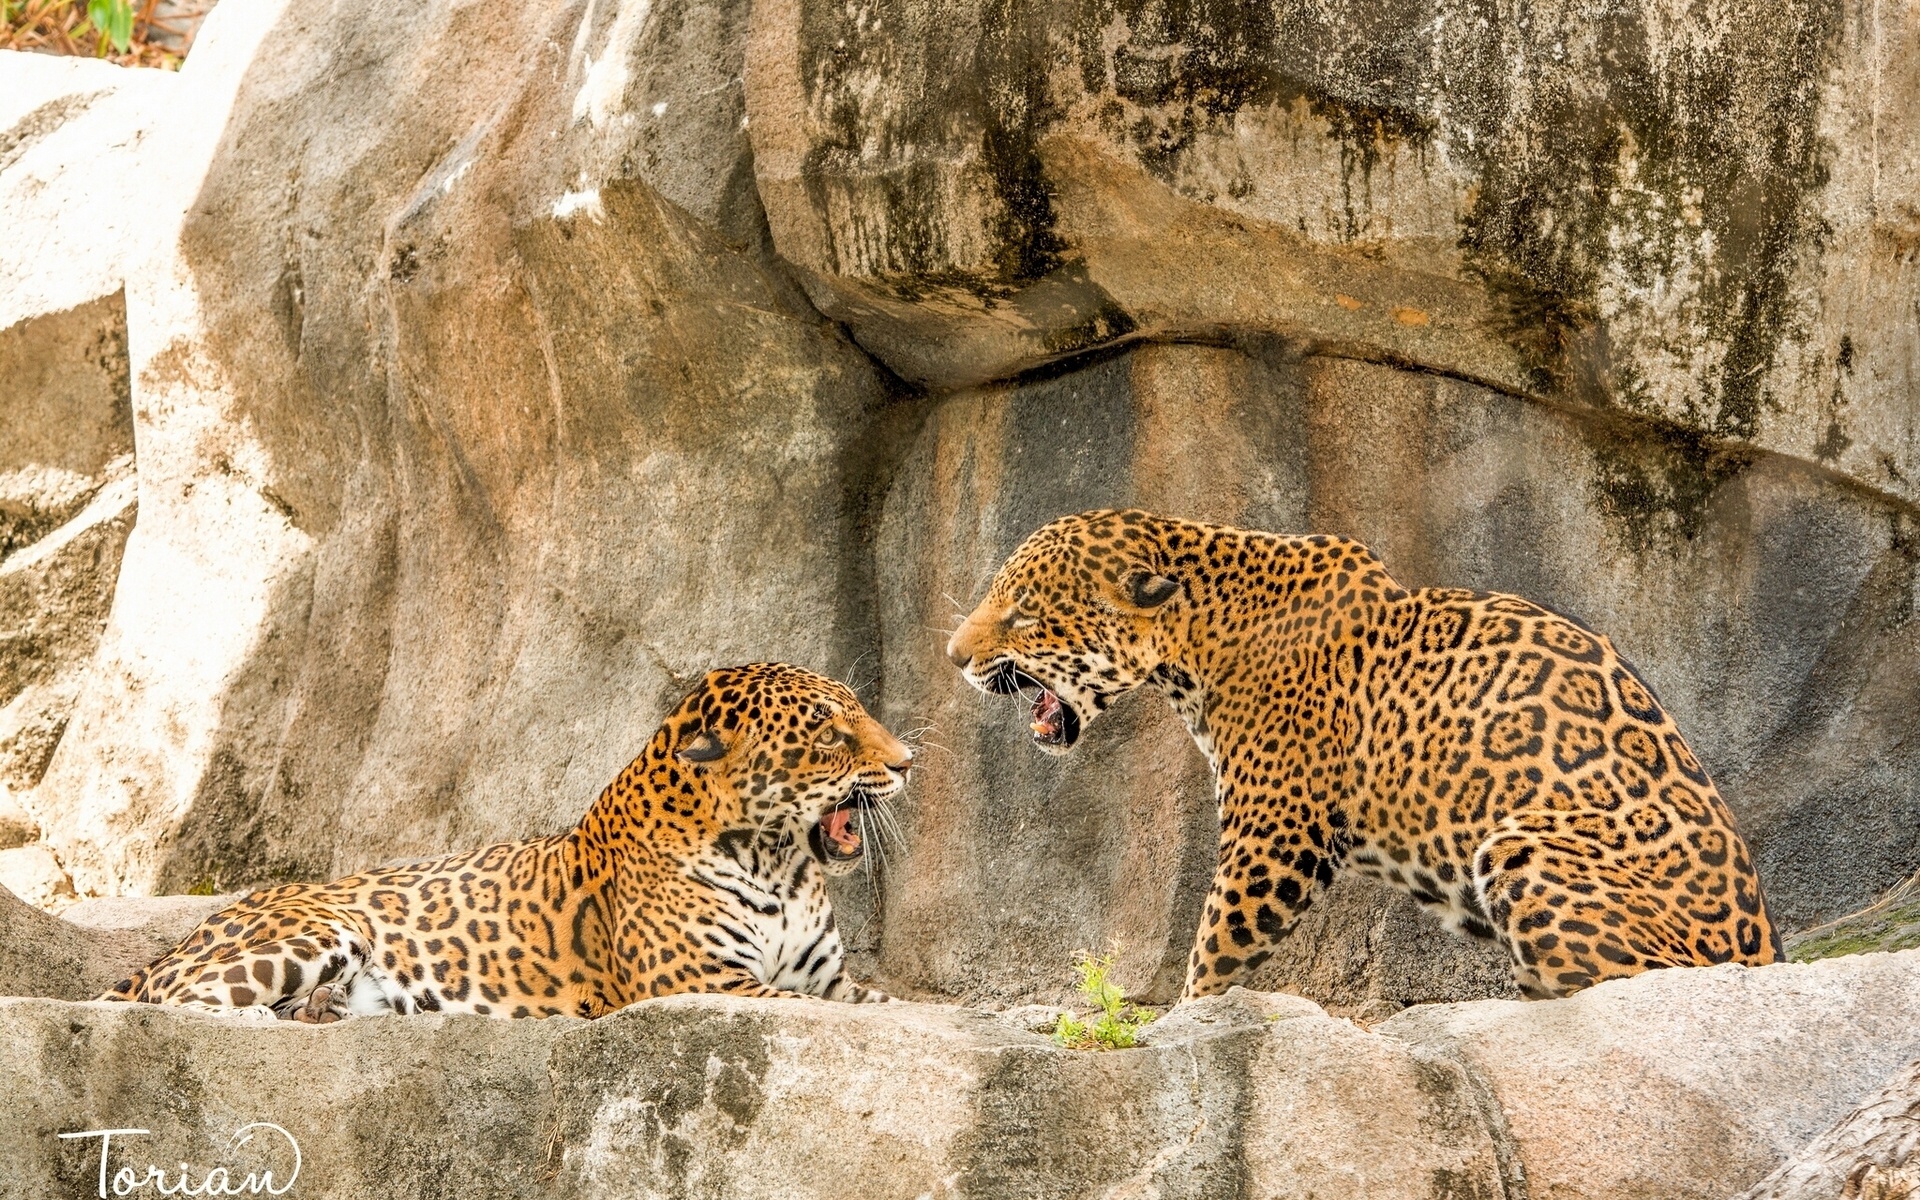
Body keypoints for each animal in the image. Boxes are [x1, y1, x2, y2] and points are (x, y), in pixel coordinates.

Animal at [101, 664, 910, 1021]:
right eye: (830, 734)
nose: (905, 763)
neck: (778, 863)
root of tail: (185, 935)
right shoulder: (701, 981)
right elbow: (839, 1011)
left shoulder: (827, 977)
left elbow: (876, 999)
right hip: (313, 931)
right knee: (173, 1007)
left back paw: (322, 1009)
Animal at [944, 510, 1781, 998]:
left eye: (1024, 614)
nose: (953, 656)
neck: (1198, 634)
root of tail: (1766, 949)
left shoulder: (1273, 838)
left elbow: (1214, 951)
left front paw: (1182, 1022)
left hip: (1522, 847)